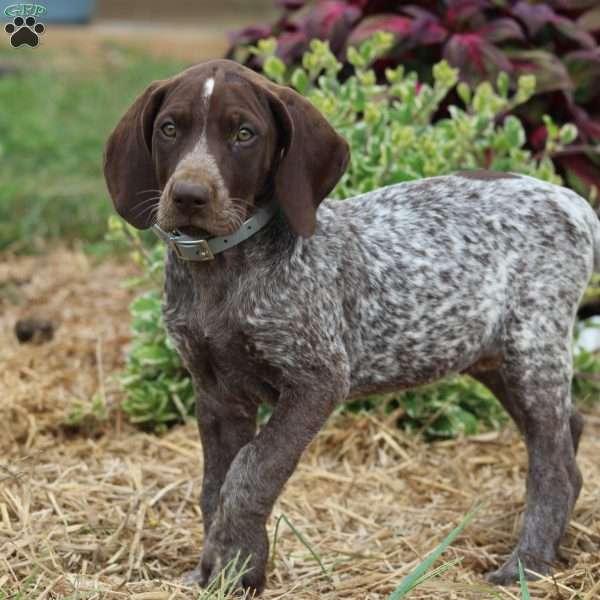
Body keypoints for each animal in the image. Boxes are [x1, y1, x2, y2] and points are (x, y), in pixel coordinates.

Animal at [104, 58, 600, 592]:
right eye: (169, 128)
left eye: (244, 134)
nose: (189, 195)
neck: (221, 272)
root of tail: (574, 202)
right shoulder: (216, 393)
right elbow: (214, 487)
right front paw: (218, 571)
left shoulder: (317, 381)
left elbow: (251, 471)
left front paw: (238, 566)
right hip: (495, 358)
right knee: (565, 436)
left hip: (531, 347)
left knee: (556, 467)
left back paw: (527, 564)